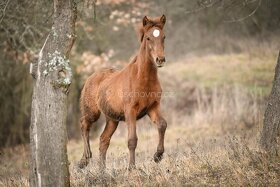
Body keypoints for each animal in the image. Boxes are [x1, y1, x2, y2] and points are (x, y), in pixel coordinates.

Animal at [77, 15, 167, 169]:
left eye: (164, 37)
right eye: (148, 38)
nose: (160, 59)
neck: (142, 79)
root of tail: (91, 76)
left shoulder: (153, 107)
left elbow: (162, 125)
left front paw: (157, 156)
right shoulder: (130, 110)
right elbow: (132, 140)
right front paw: (131, 168)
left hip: (112, 119)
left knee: (103, 139)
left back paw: (102, 170)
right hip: (92, 112)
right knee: (84, 124)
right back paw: (86, 158)